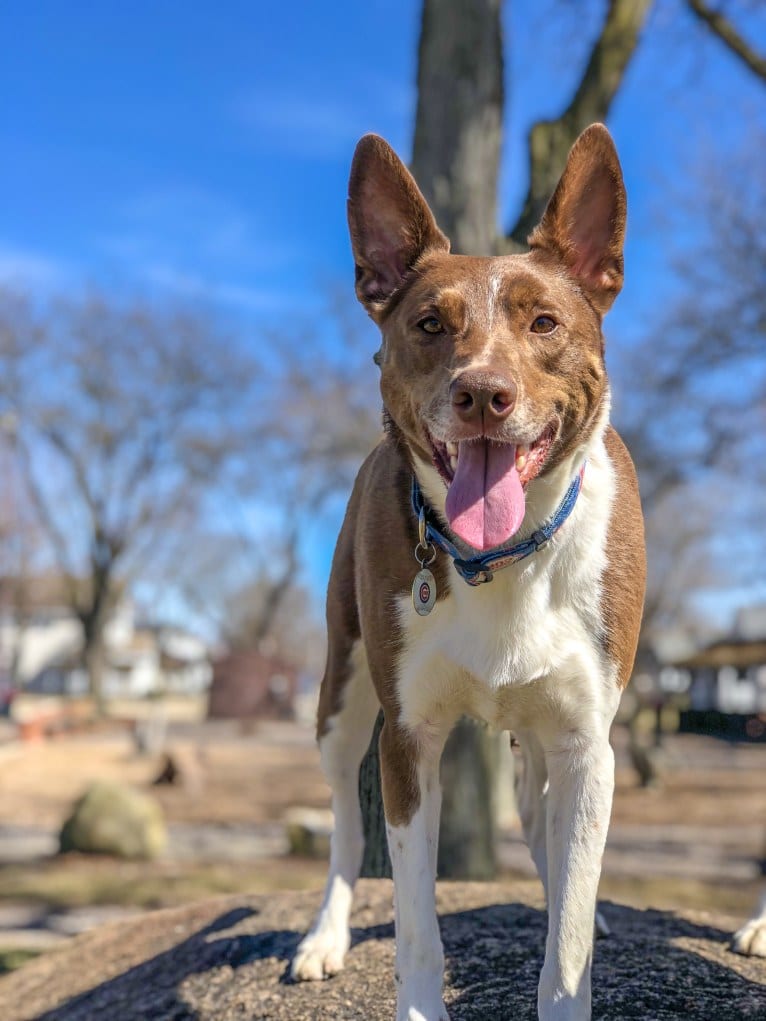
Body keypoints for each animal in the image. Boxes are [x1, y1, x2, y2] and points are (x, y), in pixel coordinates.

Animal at [292, 123, 649, 1016]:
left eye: (546, 322)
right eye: (429, 323)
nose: (483, 393)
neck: (502, 557)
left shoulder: (587, 740)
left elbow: (570, 931)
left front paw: (570, 956)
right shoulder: (408, 736)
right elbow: (416, 917)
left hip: (541, 738)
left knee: (548, 833)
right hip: (341, 692)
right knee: (345, 823)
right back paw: (324, 935)